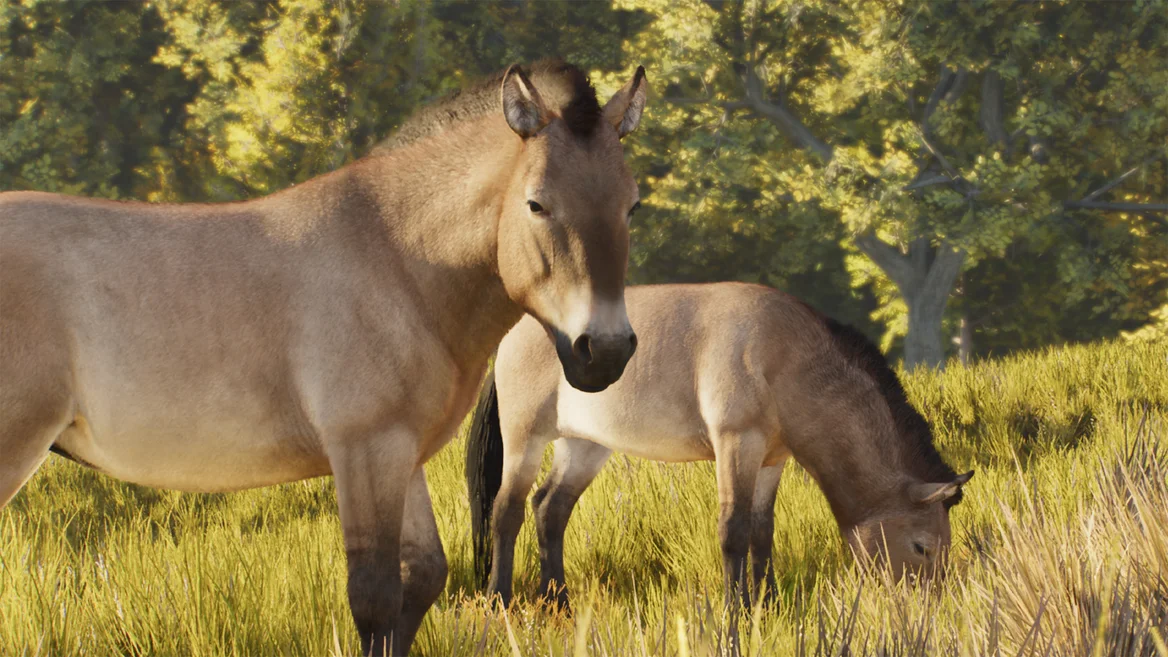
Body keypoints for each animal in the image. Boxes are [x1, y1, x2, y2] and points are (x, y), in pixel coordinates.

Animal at [0, 60, 648, 656]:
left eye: (632, 207)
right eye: (537, 204)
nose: (604, 351)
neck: (395, 261)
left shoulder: (402, 454)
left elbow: (423, 577)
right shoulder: (365, 450)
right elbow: (375, 596)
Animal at [466, 282, 973, 611]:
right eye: (922, 546)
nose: (930, 606)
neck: (783, 354)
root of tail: (513, 333)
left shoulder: (772, 459)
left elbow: (763, 531)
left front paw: (768, 605)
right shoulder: (736, 443)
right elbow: (734, 530)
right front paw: (737, 610)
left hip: (584, 445)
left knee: (550, 509)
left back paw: (559, 603)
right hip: (526, 438)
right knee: (507, 511)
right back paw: (499, 600)